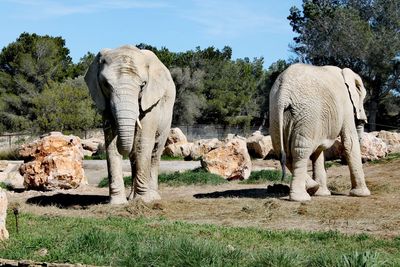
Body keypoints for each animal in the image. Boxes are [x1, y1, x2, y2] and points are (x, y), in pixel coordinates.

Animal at [85, 45, 176, 205]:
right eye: (106, 84)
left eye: (143, 85)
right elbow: (111, 145)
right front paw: (118, 203)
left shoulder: (151, 102)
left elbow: (142, 143)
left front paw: (143, 201)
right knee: (134, 155)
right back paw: (132, 197)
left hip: (167, 116)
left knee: (155, 152)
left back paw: (153, 197)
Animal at [268, 63, 372, 202]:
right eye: (362, 95)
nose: (362, 119)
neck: (344, 72)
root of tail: (284, 92)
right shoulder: (345, 104)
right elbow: (349, 140)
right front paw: (362, 194)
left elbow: (319, 150)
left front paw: (322, 194)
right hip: (308, 113)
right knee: (301, 149)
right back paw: (301, 198)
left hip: (276, 113)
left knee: (282, 150)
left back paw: (312, 187)